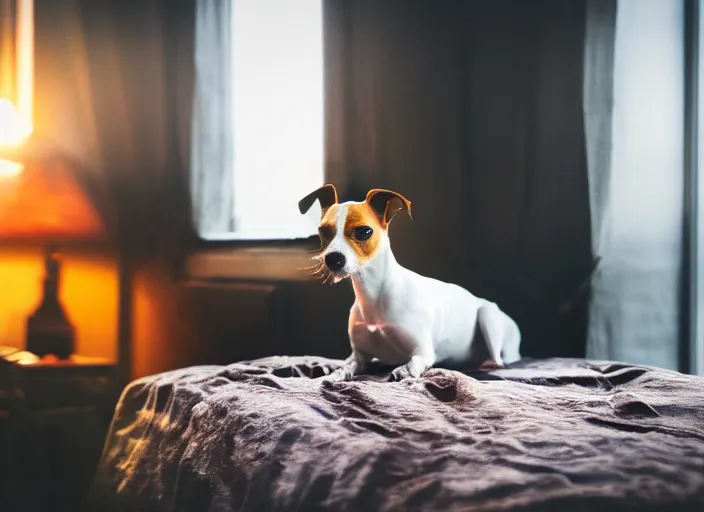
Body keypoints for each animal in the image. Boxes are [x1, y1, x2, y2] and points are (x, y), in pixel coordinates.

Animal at [298, 184, 524, 380]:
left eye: (363, 231)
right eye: (323, 231)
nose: (333, 259)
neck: (374, 294)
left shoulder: (423, 352)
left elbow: (414, 362)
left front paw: (404, 371)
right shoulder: (360, 356)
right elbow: (350, 364)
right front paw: (337, 372)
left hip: (488, 317)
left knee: (499, 359)